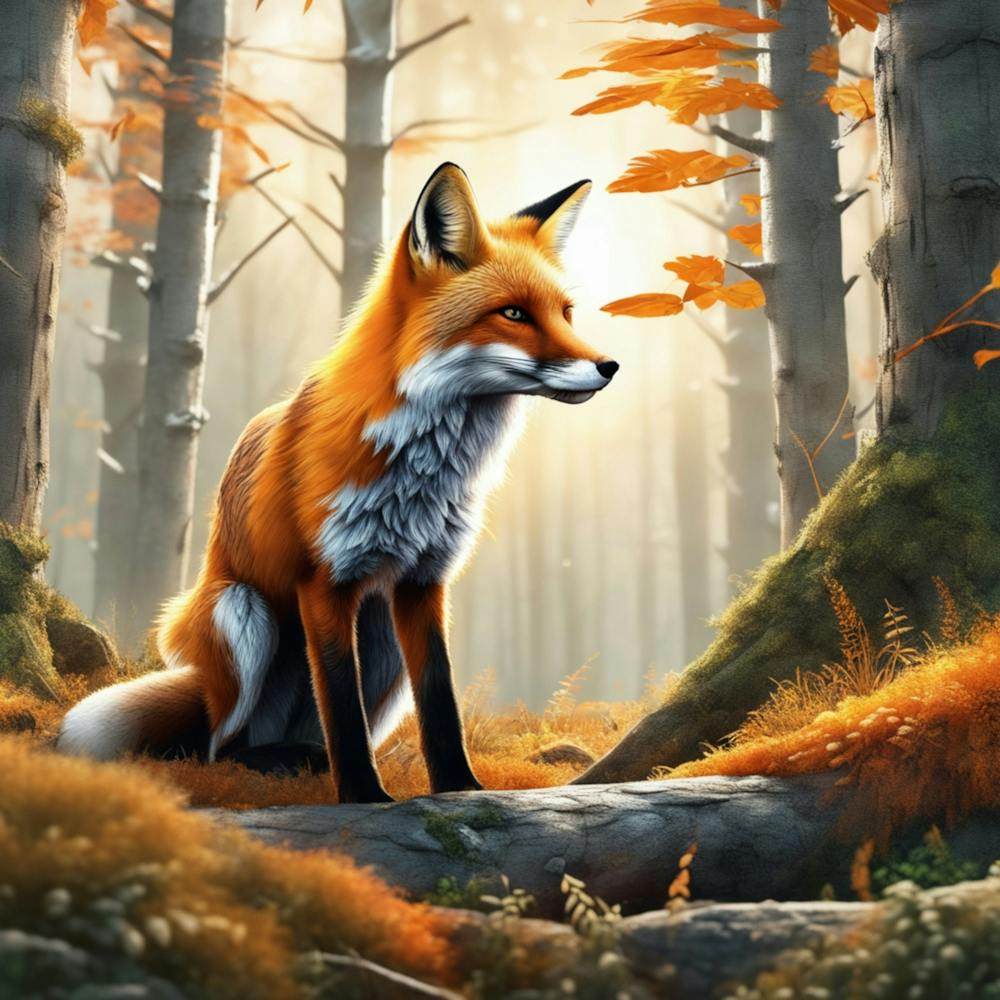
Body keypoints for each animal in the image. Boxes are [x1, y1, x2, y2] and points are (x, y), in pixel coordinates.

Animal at [57, 163, 619, 802]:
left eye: (565, 313)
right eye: (514, 314)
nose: (610, 366)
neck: (421, 472)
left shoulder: (425, 582)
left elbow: (440, 699)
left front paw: (460, 788)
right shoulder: (323, 579)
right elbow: (341, 703)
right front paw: (364, 796)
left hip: (381, 644)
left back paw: (303, 759)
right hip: (242, 614)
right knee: (216, 744)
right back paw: (263, 762)